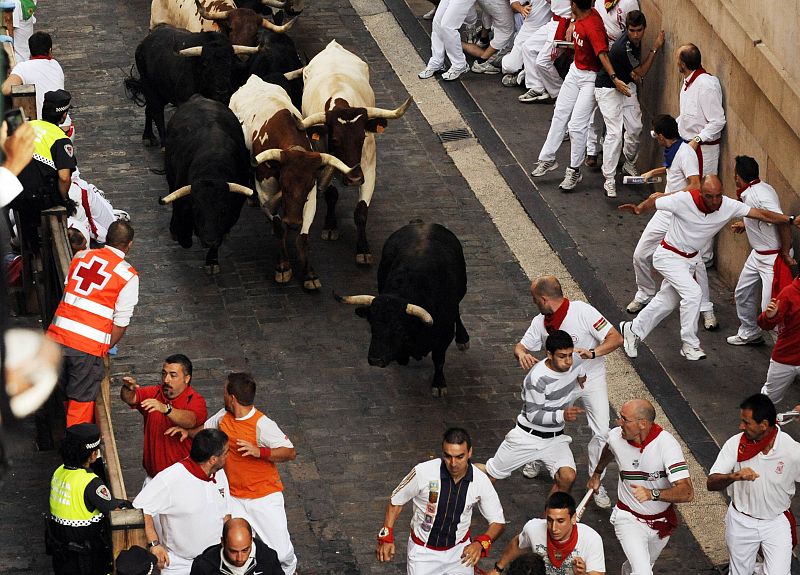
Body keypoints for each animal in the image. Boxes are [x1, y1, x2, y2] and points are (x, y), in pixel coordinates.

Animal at [160, 94, 253, 274]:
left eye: (223, 210)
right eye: (197, 209)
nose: (209, 240)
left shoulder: (234, 208)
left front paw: (212, 261)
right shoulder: (183, 200)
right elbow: (184, 230)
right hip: (170, 176)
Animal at [300, 39, 412, 266]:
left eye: (362, 138)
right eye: (335, 140)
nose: (353, 179)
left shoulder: (368, 168)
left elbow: (361, 211)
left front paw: (363, 249)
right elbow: (331, 193)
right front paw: (330, 226)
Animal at [336, 220, 468, 396]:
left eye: (398, 328)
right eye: (372, 325)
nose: (375, 360)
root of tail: (420, 223)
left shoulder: (443, 337)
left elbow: (439, 360)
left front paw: (439, 384)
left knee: (458, 310)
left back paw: (463, 338)